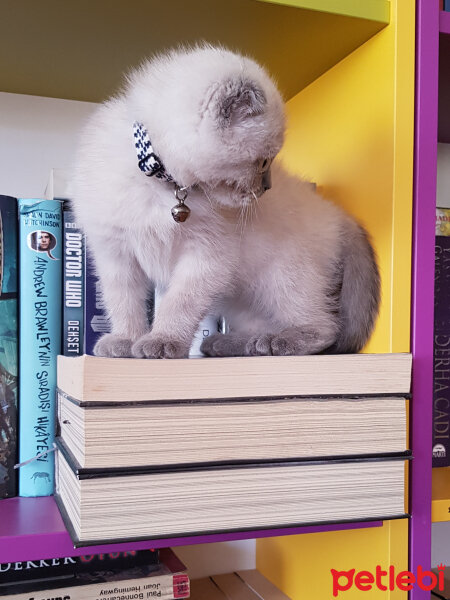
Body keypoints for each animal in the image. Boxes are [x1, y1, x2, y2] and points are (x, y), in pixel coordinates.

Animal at [71, 45, 380, 360]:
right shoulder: (115, 253)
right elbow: (123, 302)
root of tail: (338, 214)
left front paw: (162, 341)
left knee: (324, 327)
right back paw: (232, 344)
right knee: (260, 324)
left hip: (282, 275)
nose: (267, 187)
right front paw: (125, 340)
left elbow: (179, 303)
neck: (164, 184)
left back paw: (278, 342)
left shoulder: (207, 257)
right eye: (264, 161)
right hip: (241, 296)